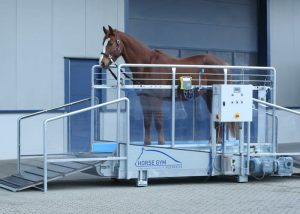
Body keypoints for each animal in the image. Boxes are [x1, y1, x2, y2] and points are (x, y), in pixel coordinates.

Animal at [99, 25, 234, 145]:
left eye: (111, 43)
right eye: (103, 42)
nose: (102, 62)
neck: (147, 65)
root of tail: (223, 64)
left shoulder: (156, 99)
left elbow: (158, 122)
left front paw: (161, 143)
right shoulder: (144, 98)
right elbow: (147, 121)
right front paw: (147, 143)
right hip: (208, 96)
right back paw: (213, 142)